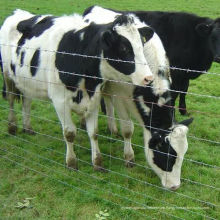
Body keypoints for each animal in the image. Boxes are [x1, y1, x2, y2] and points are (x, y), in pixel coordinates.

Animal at [0, 9, 155, 170]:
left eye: (142, 45)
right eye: (123, 48)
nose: (148, 78)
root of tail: (18, 12)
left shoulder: (94, 98)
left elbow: (93, 132)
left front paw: (97, 162)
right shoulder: (59, 101)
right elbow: (69, 133)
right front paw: (71, 162)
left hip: (26, 81)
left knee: (27, 101)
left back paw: (27, 127)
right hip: (7, 74)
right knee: (10, 99)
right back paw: (12, 127)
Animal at [84, 5, 220, 115]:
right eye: (213, 37)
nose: (218, 57)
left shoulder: (185, 73)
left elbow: (184, 90)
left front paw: (183, 110)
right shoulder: (175, 72)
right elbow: (175, 93)